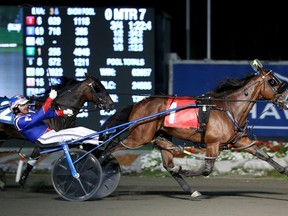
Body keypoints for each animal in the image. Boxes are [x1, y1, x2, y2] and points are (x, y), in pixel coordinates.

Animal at [100, 59, 288, 197]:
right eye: (273, 81)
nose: (286, 99)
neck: (229, 108)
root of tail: (138, 104)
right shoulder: (213, 143)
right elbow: (206, 170)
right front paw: (186, 170)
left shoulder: (240, 141)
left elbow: (263, 155)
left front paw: (284, 170)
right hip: (139, 136)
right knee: (111, 147)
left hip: (161, 137)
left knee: (168, 164)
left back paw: (191, 190)